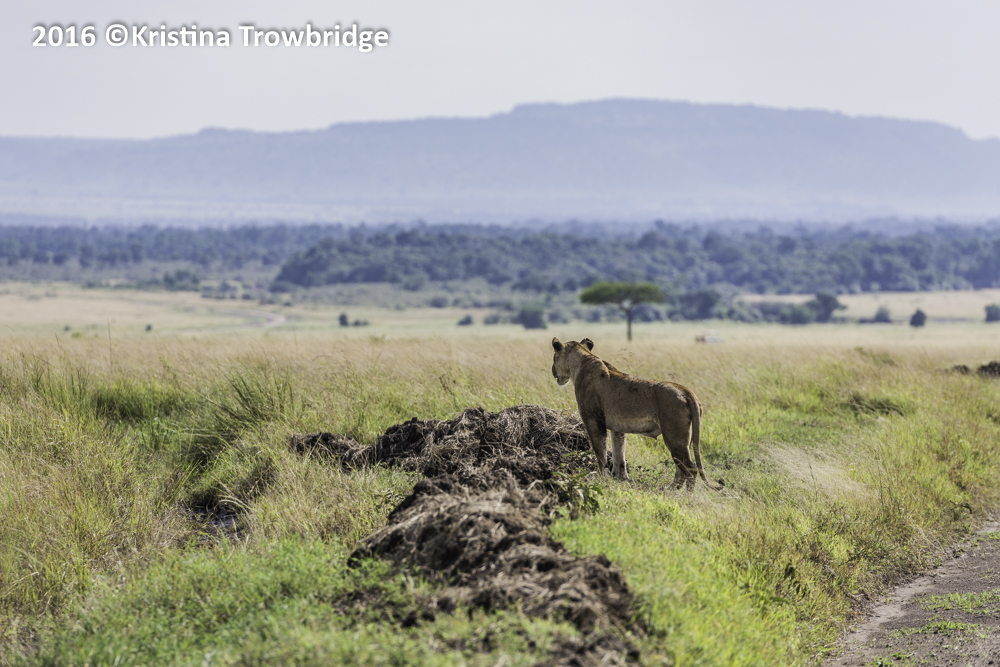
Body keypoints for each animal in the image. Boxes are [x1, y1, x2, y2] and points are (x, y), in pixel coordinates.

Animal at [551, 337, 721, 490]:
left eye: (554, 357)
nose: (552, 371)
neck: (583, 360)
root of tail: (686, 391)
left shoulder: (593, 421)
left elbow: (600, 454)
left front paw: (600, 479)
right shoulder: (617, 428)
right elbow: (619, 455)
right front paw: (621, 479)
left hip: (674, 436)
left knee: (690, 469)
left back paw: (685, 495)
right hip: (683, 438)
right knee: (682, 468)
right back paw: (670, 490)